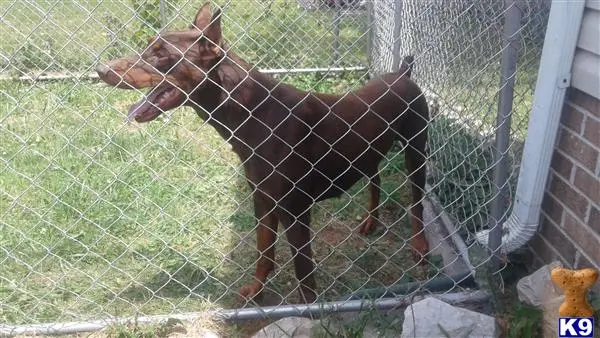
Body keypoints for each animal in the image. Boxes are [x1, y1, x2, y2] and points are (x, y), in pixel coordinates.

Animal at [96, 1, 428, 304]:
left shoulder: (295, 209)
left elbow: (303, 269)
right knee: (375, 178)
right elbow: (264, 252)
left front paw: (311, 309)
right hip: (368, 151)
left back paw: (420, 246)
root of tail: (402, 73)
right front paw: (254, 291)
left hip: (416, 148)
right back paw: (371, 220)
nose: (100, 70)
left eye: (161, 53)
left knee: (417, 202)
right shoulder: (263, 199)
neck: (253, 113)